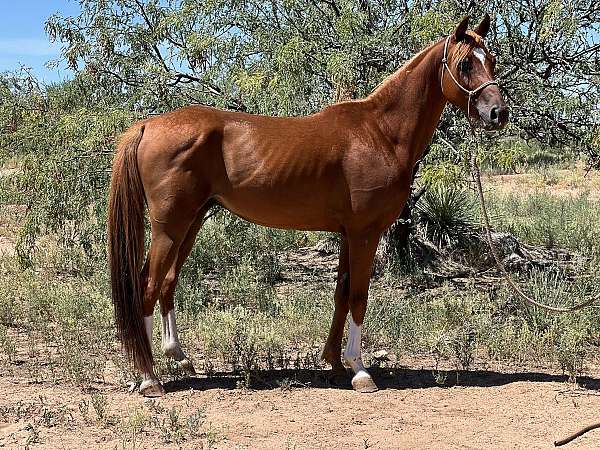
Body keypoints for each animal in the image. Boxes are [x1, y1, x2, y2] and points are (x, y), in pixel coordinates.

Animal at [108, 14, 506, 396]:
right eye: (466, 63)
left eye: (492, 60)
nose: (497, 113)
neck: (380, 132)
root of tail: (147, 125)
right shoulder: (365, 233)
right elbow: (358, 296)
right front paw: (360, 371)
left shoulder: (348, 234)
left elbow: (342, 293)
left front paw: (334, 363)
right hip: (169, 227)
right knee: (147, 286)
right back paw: (149, 378)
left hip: (190, 222)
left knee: (166, 283)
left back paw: (177, 357)